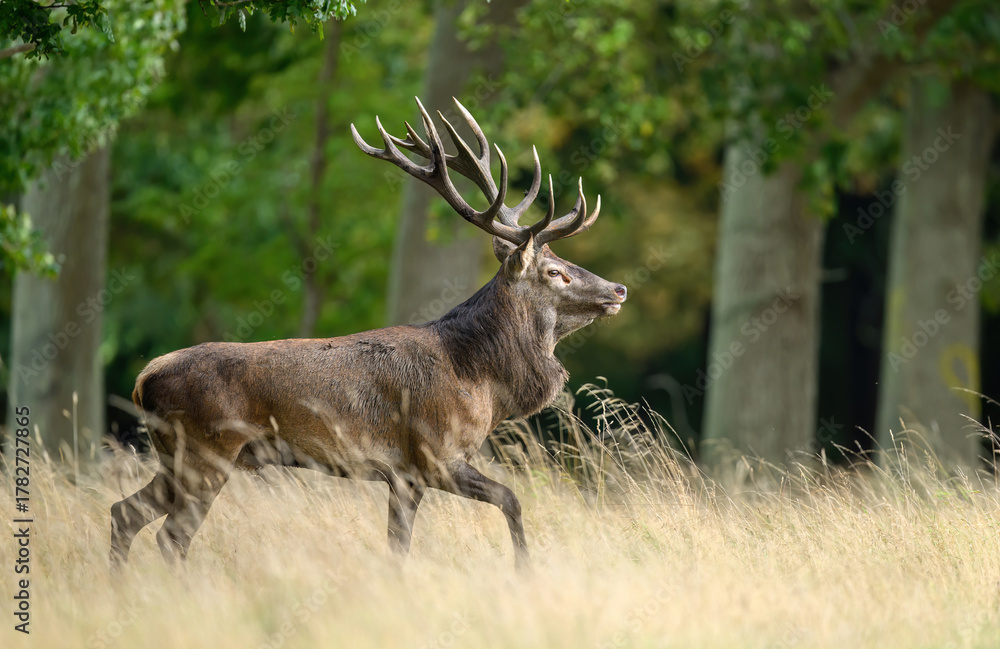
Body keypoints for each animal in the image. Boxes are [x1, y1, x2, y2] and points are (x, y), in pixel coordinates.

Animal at [109, 97, 627, 572]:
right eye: (555, 271)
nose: (619, 289)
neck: (480, 380)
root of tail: (143, 379)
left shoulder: (402, 476)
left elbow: (398, 548)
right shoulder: (433, 455)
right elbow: (511, 499)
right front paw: (524, 572)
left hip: (175, 457)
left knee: (124, 512)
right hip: (206, 451)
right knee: (171, 537)